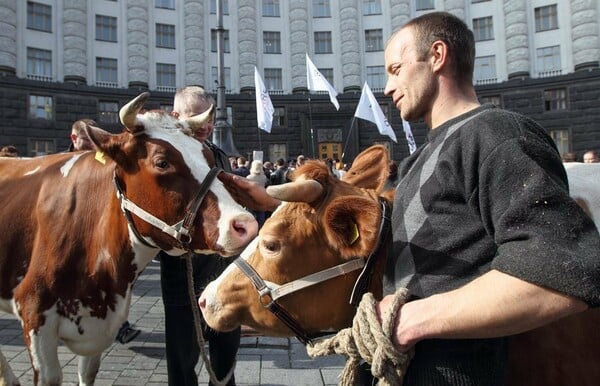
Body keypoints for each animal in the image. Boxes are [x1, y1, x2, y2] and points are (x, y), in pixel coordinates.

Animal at [0, 93, 256, 386]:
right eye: (162, 162)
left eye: (208, 156)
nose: (245, 224)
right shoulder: (34, 314)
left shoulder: (101, 324)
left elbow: (88, 372)